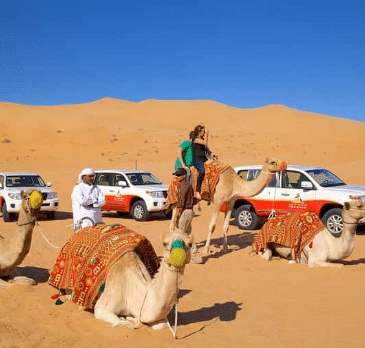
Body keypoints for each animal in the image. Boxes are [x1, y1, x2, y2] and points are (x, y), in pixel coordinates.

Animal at [49, 209, 195, 328]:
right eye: (165, 243)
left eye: (190, 243)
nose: (178, 256)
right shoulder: (103, 307)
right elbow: (120, 322)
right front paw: (128, 319)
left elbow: (161, 325)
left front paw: (132, 318)